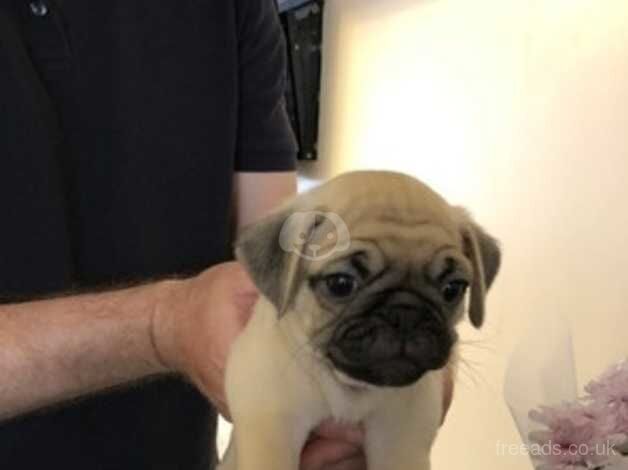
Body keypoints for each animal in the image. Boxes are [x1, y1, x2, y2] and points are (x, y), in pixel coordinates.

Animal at [218, 172, 502, 470]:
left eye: (452, 289)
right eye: (341, 284)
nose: (405, 313)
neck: (351, 390)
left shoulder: (401, 439)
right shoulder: (271, 423)